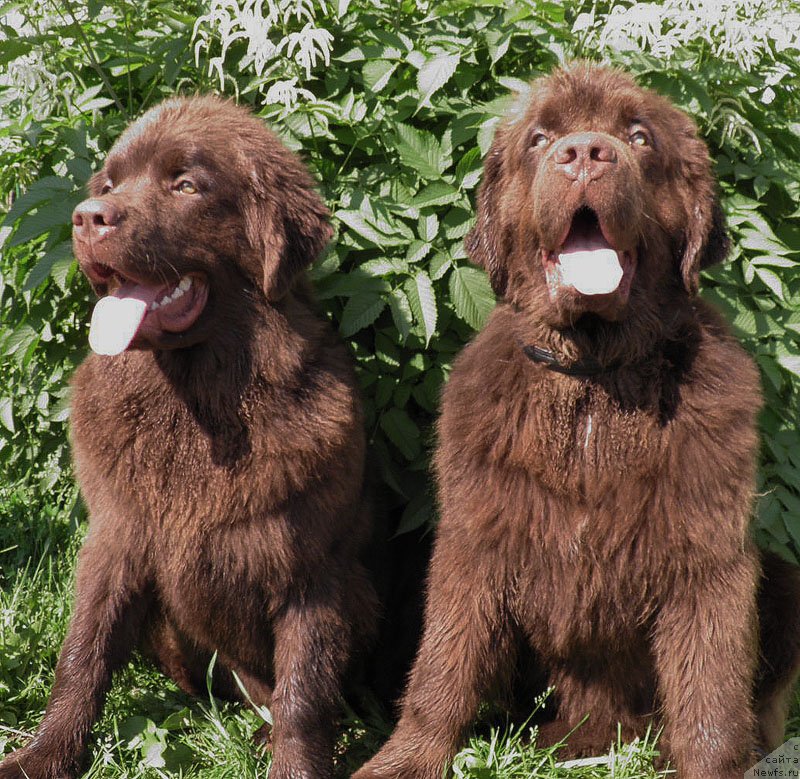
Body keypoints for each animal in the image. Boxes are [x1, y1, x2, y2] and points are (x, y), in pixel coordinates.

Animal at [0, 97, 376, 779]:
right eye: (109, 186)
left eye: (186, 186)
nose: (87, 218)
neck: (197, 403)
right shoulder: (116, 536)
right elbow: (83, 656)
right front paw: (43, 757)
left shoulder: (314, 570)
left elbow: (305, 693)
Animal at [354, 65, 800, 779]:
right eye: (540, 139)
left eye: (640, 136)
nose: (585, 152)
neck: (594, 379)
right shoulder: (473, 538)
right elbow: (443, 665)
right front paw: (404, 760)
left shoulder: (707, 554)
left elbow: (710, 689)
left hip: (783, 580)